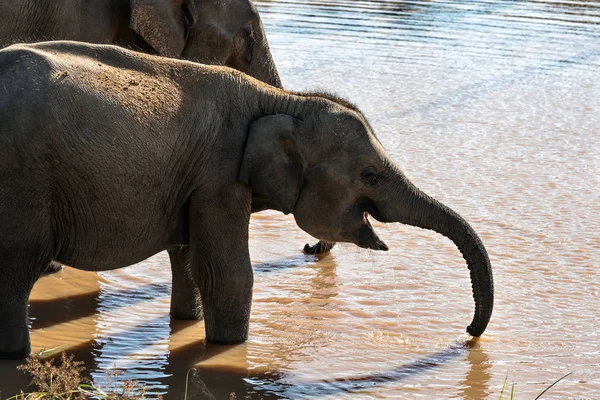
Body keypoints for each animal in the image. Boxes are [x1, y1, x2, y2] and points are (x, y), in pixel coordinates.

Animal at [0, 41, 494, 360]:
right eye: (370, 174)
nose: (469, 333)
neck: (284, 100)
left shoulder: (194, 180)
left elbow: (189, 259)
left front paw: (189, 323)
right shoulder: (219, 176)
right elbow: (228, 275)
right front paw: (228, 349)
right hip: (22, 182)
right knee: (15, 272)